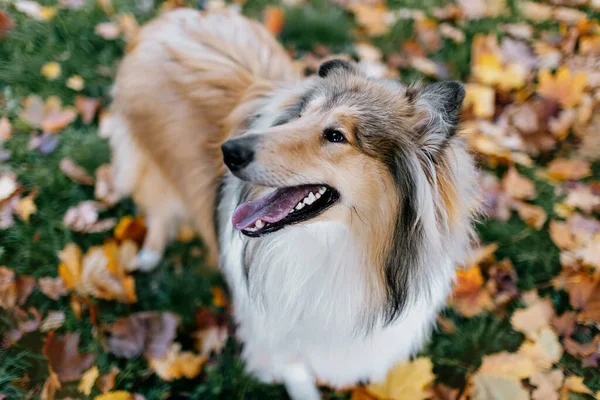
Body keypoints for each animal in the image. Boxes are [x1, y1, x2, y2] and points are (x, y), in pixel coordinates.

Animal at [102, 9, 478, 400]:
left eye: (336, 136)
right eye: (300, 116)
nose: (228, 151)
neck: (339, 246)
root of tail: (175, 17)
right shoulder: (274, 328)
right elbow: (295, 369)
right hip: (152, 163)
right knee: (159, 210)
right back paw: (148, 254)